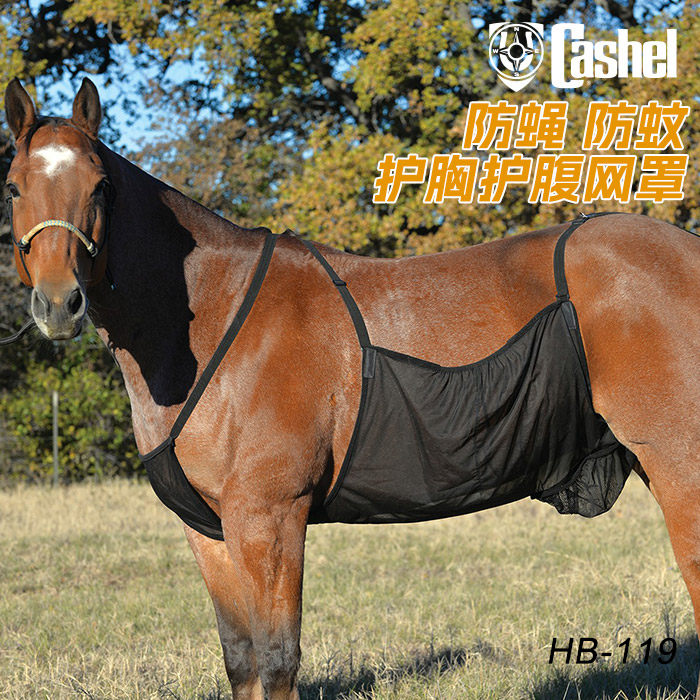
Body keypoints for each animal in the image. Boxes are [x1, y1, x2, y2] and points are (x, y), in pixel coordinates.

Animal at [3, 76, 699, 700]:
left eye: (100, 186)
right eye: (13, 186)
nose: (59, 304)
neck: (212, 322)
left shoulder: (271, 517)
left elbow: (278, 661)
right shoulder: (210, 529)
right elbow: (242, 661)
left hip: (677, 464)